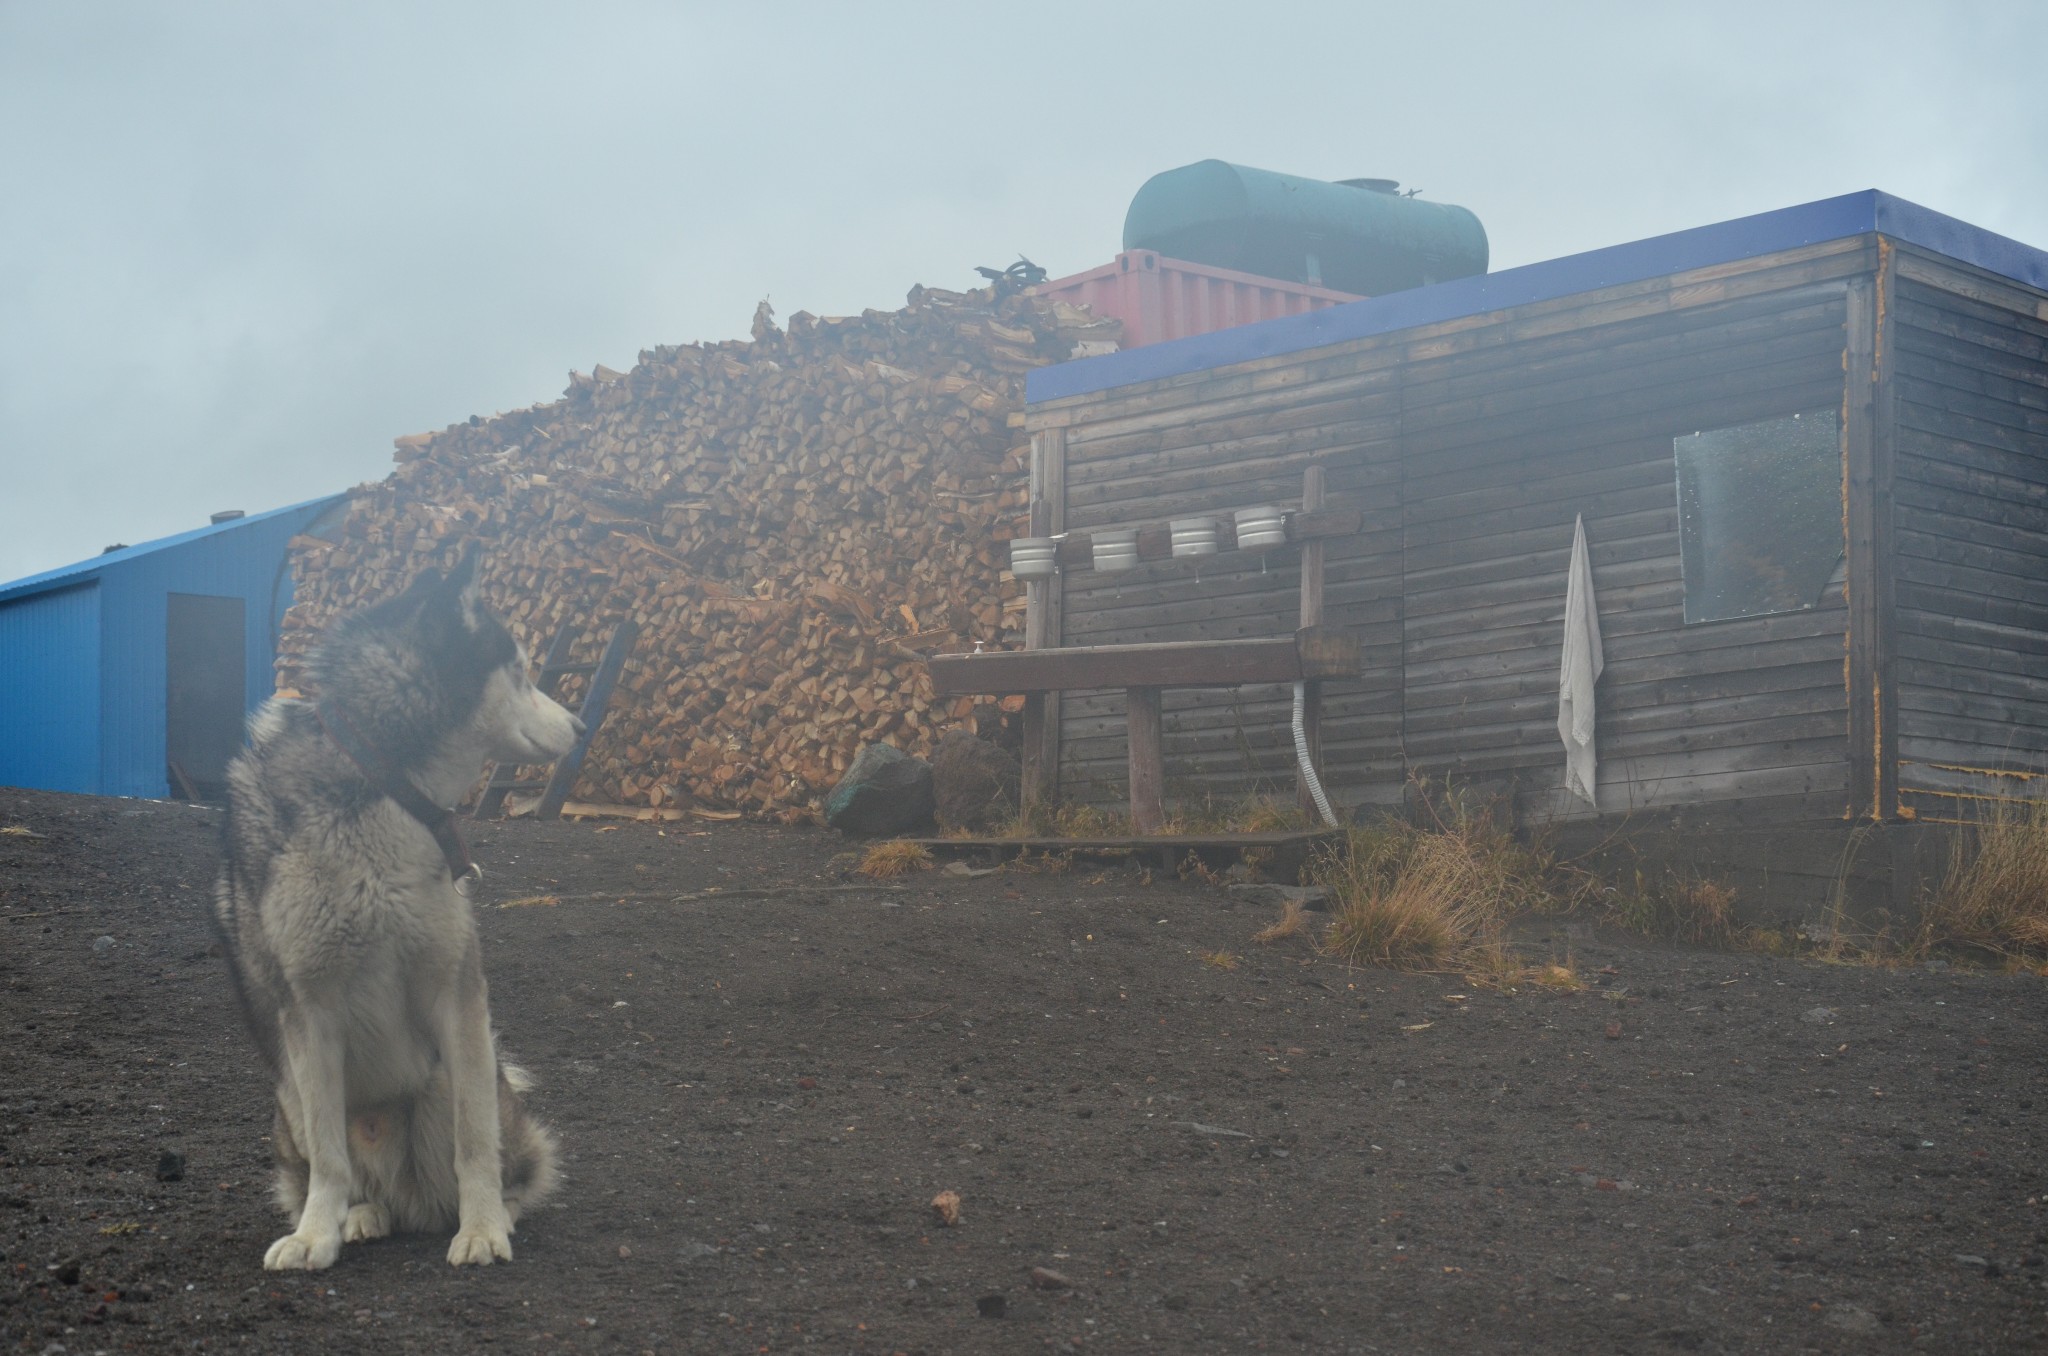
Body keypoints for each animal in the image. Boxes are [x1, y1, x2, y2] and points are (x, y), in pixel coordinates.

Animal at [212, 553, 581, 1278]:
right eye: (521, 671)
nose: (582, 728)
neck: (378, 781)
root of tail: (412, 1202)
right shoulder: (309, 1015)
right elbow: (330, 1161)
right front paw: (316, 1234)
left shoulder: (457, 996)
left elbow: (476, 1143)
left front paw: (483, 1228)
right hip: (288, 1102)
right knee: (348, 1172)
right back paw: (363, 1216)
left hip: (451, 1078)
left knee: (505, 1163)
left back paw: (488, 1212)